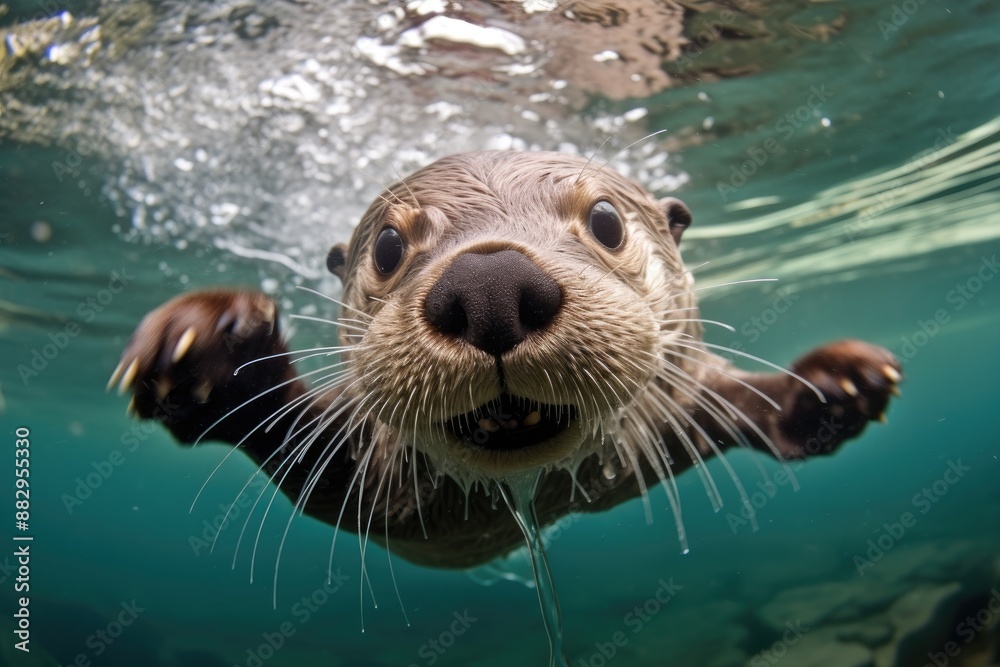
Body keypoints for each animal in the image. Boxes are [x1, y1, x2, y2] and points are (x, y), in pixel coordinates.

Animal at [111, 151, 901, 570]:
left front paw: (834, 385)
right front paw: (212, 347)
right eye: (388, 246)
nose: (489, 285)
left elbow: (743, 403)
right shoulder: (372, 481)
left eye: (606, 220)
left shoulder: (671, 416)